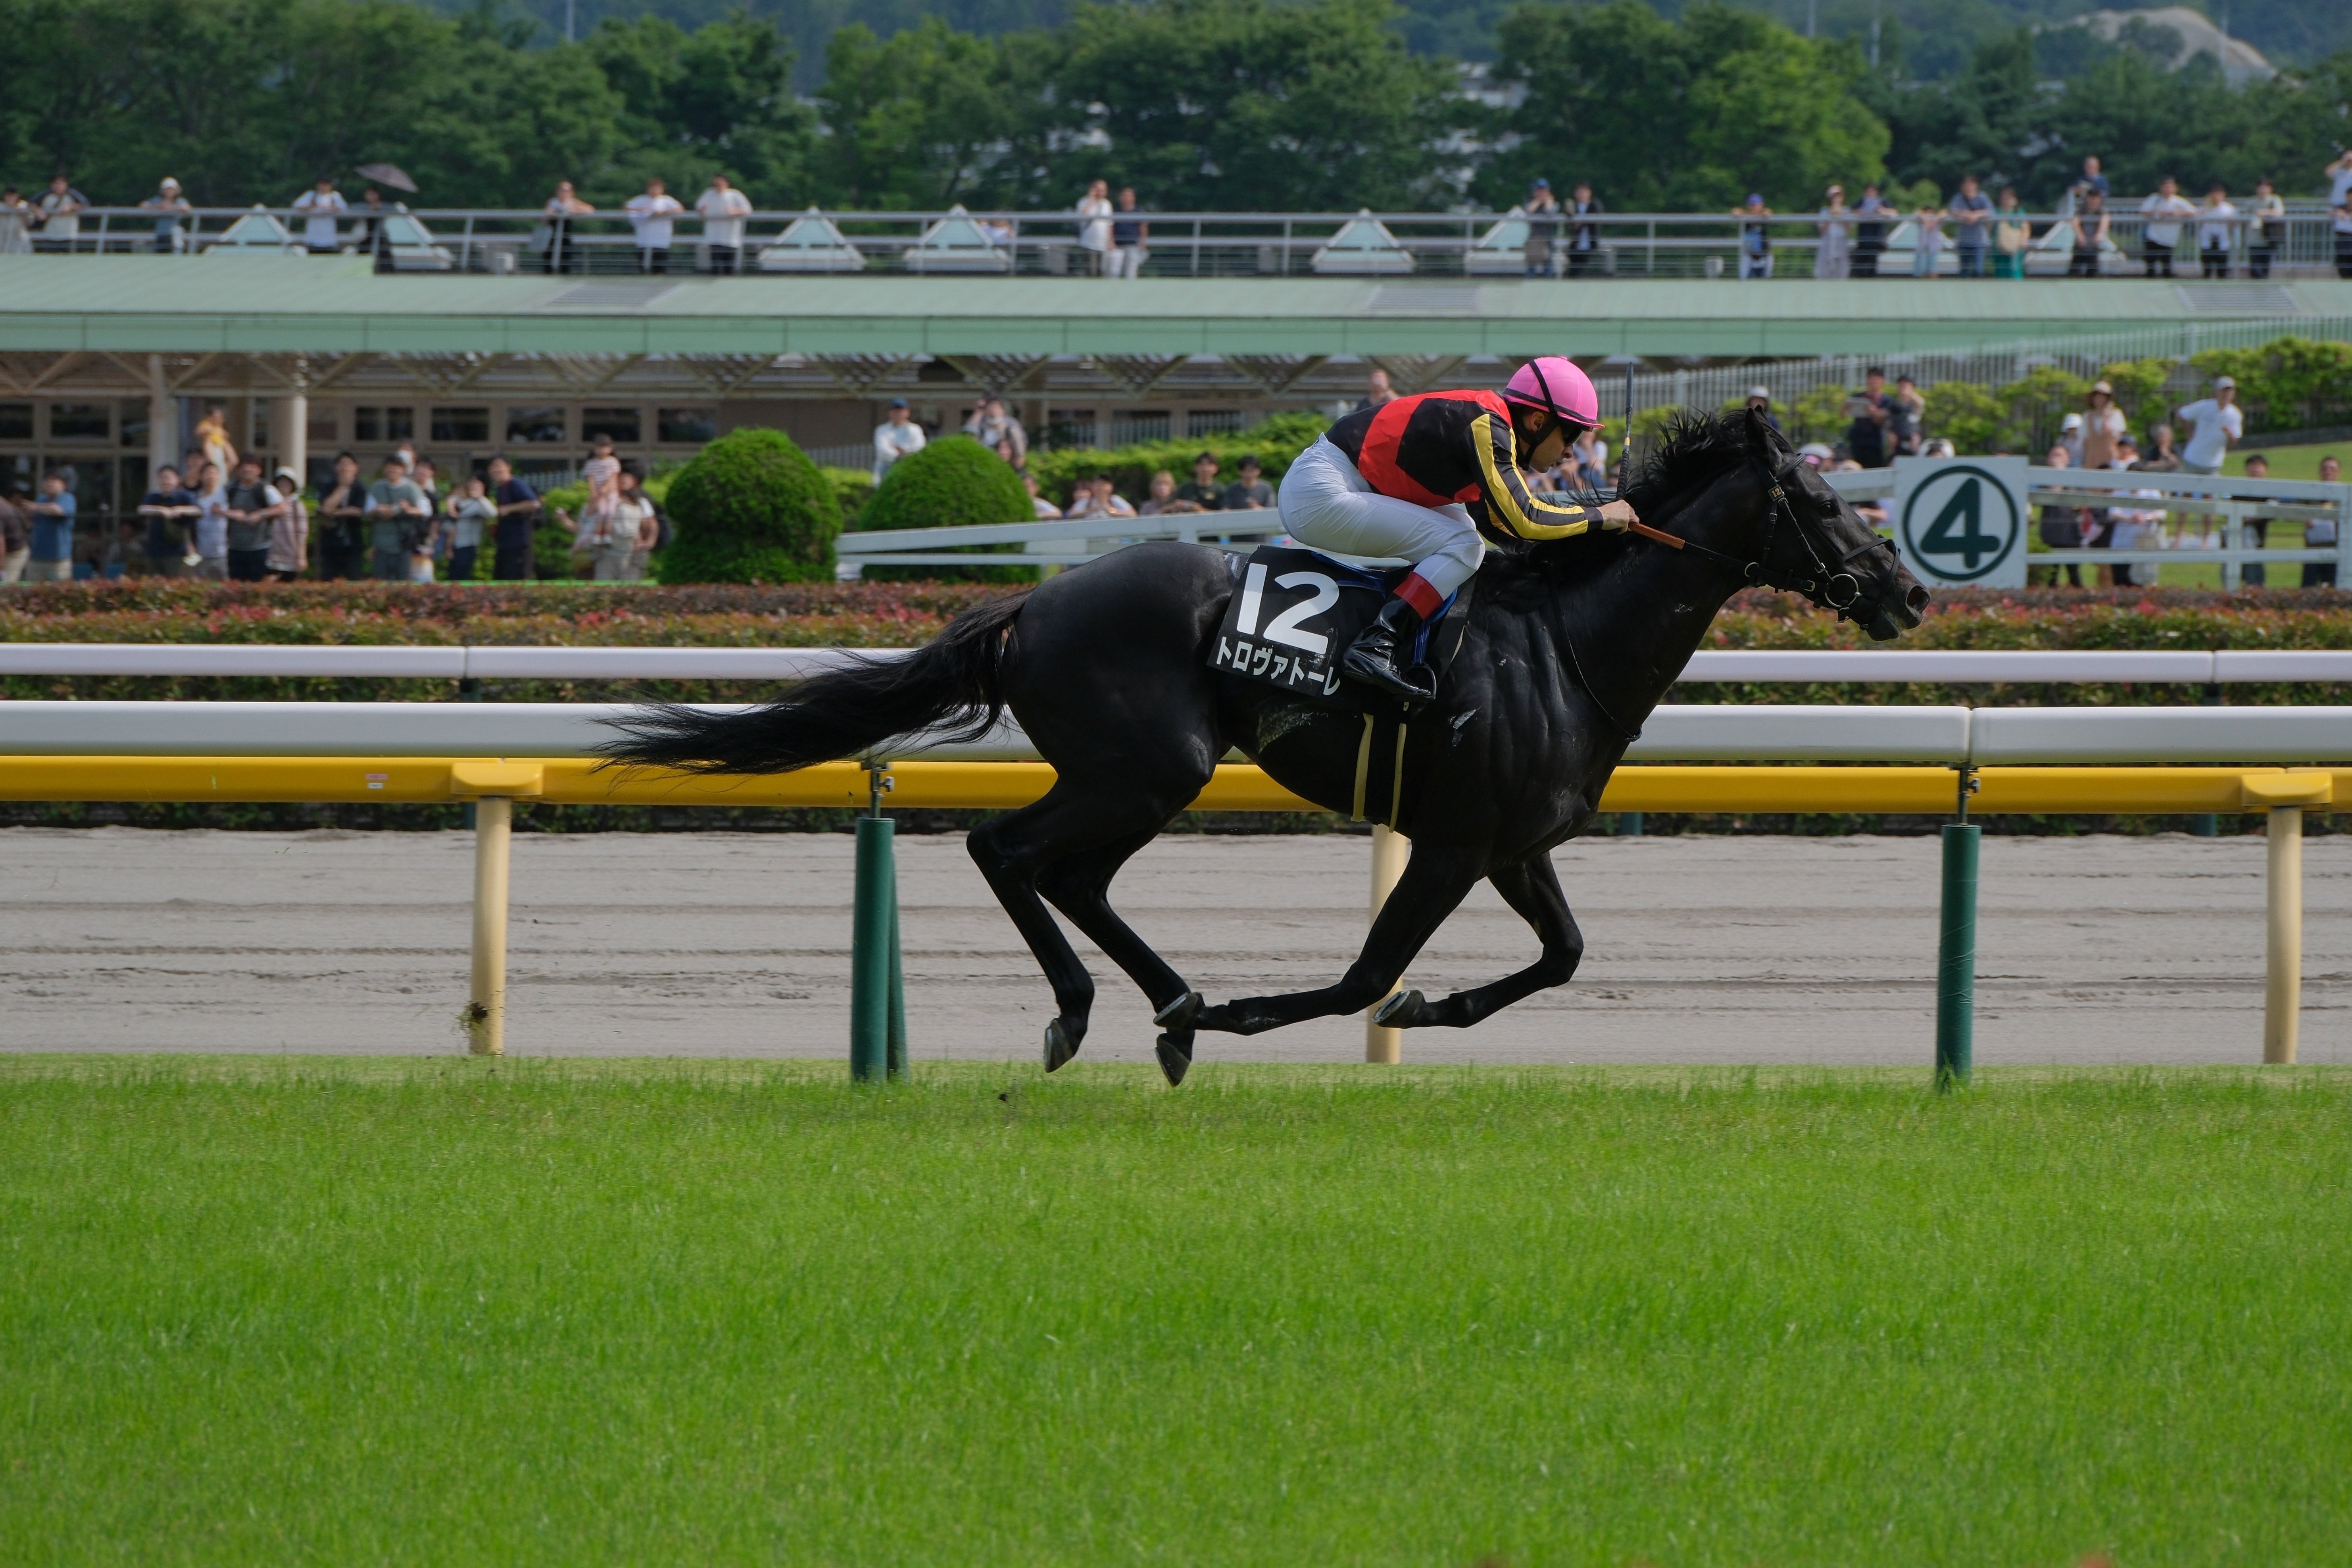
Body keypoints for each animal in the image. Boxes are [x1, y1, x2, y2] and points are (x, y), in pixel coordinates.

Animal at [606, 410, 1928, 1084]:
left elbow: (1561, 955)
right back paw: (1108, 1013)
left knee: (1066, 874)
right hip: (1152, 764)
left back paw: (1167, 1005)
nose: (1909, 592)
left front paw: (1435, 1009)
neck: (1564, 645)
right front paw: (1307, 1012)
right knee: (1009, 851)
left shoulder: (1514, 843)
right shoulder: (1452, 842)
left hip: (1137, 774)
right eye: (1824, 502)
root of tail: (1032, 603)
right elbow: (1362, 974)